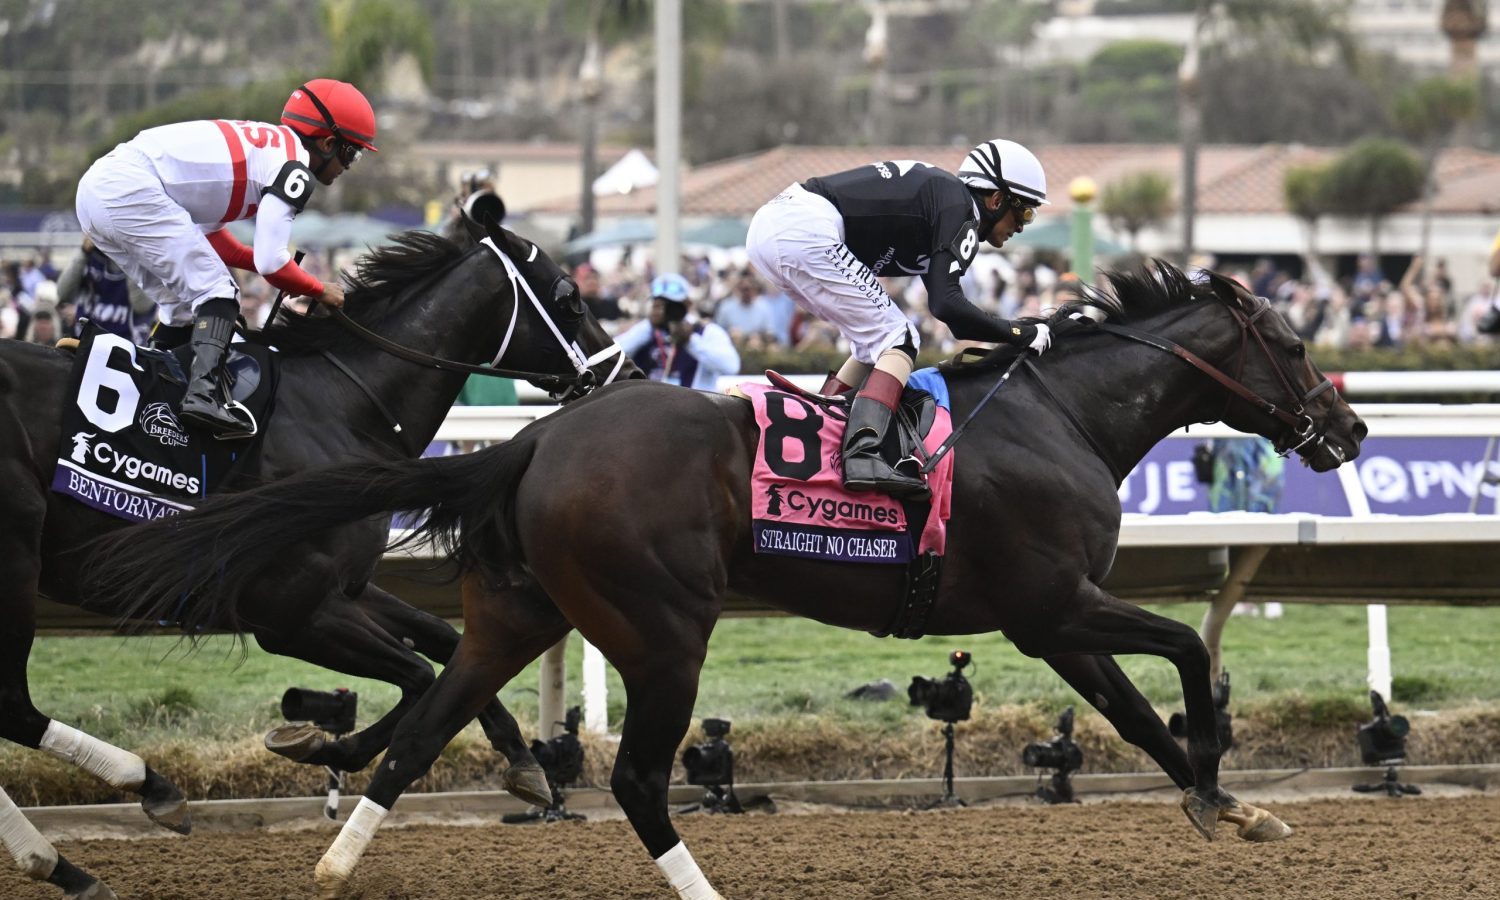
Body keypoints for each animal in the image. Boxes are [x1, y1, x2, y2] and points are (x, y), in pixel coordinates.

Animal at [0, 219, 636, 900]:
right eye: (571, 297)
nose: (628, 373)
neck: (344, 407)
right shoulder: (289, 614)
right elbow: (421, 675)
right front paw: (322, 747)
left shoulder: (345, 588)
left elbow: (443, 642)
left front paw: (522, 762)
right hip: (17, 560)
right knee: (14, 707)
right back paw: (139, 795)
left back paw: (67, 860)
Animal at [87, 259, 1368, 894]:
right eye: (1292, 342)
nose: (1349, 431)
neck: (1060, 416)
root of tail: (534, 441)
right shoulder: (1056, 604)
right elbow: (1190, 655)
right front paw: (1223, 783)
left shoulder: (1046, 625)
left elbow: (1138, 715)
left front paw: (1230, 807)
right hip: (663, 627)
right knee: (637, 779)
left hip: (517, 611)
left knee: (427, 722)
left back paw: (339, 855)